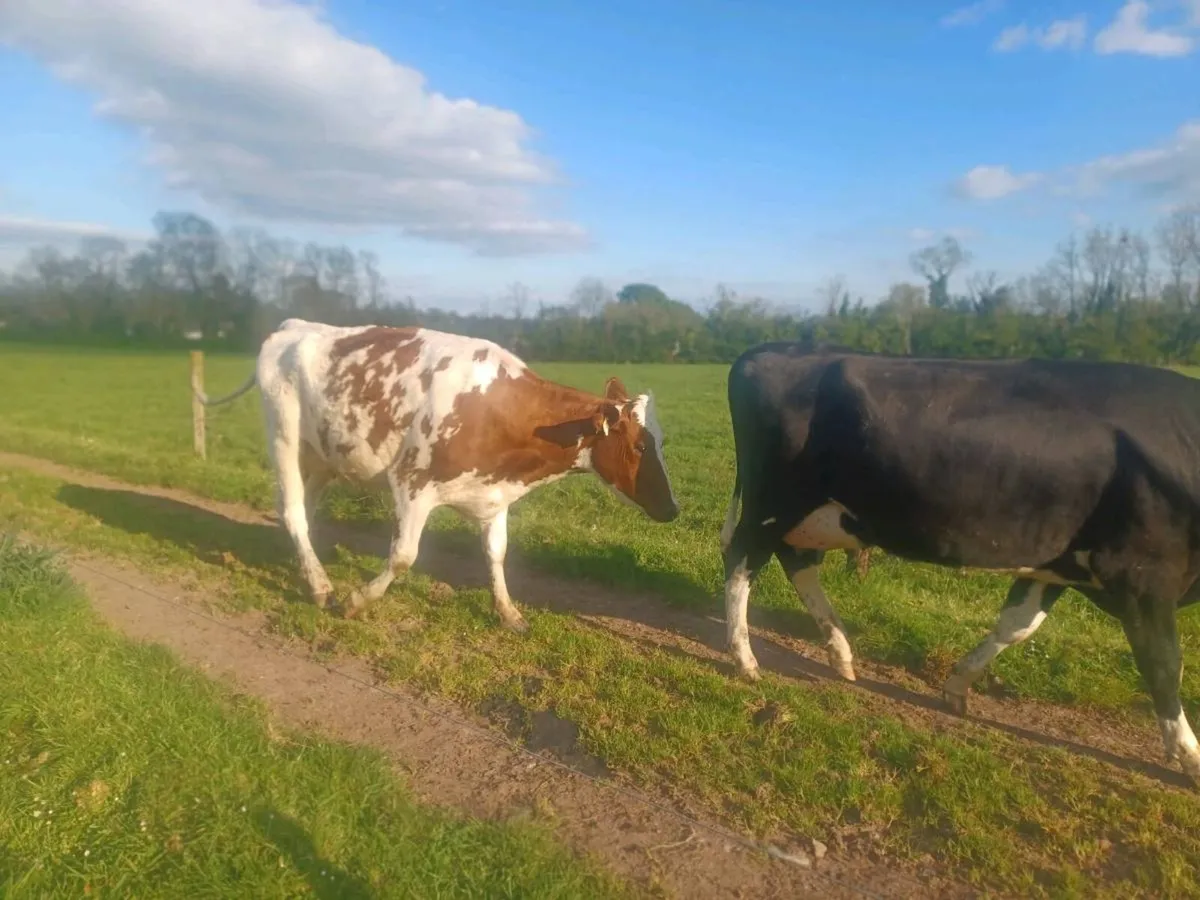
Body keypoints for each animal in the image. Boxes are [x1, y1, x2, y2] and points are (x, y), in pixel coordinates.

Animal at [197, 318, 680, 630]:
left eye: (662, 442)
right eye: (640, 446)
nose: (674, 509)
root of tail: (292, 325)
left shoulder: (493, 497)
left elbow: (496, 554)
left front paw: (508, 613)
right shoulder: (412, 484)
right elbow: (403, 556)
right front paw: (357, 602)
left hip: (324, 455)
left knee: (303, 509)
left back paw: (307, 570)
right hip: (283, 436)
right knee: (292, 510)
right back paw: (320, 587)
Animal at [720, 341, 1200, 783]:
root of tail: (773, 349)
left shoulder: (1056, 565)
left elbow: (1018, 625)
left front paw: (957, 685)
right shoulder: (1143, 574)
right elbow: (1163, 664)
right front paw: (1188, 754)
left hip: (814, 514)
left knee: (796, 562)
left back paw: (840, 653)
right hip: (773, 503)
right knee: (741, 562)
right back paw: (745, 658)